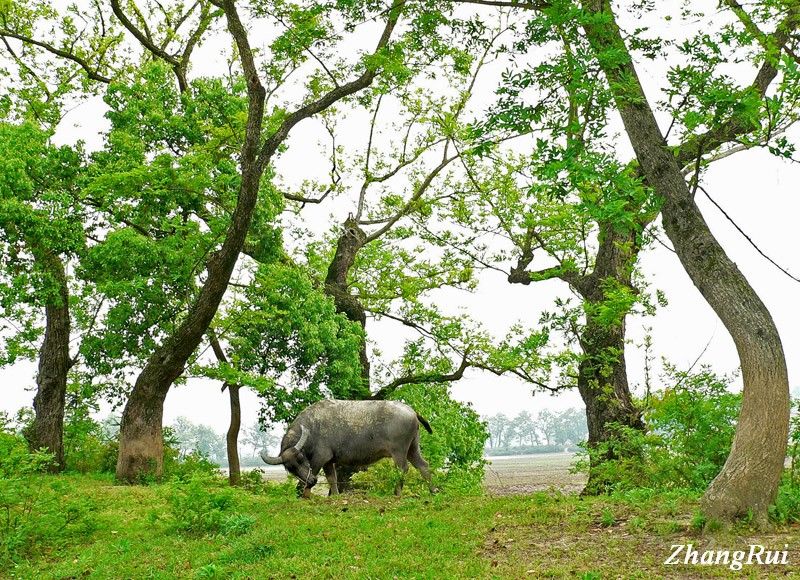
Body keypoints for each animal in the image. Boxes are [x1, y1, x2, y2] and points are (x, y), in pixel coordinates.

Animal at [260, 398, 438, 498]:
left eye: (301, 458)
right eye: (290, 468)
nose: (311, 480)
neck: (312, 427)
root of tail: (412, 411)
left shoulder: (320, 458)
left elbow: (316, 475)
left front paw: (305, 494)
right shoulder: (329, 461)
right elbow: (332, 479)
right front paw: (335, 496)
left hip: (399, 451)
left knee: (402, 469)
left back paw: (397, 493)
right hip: (412, 448)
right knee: (423, 466)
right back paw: (433, 490)